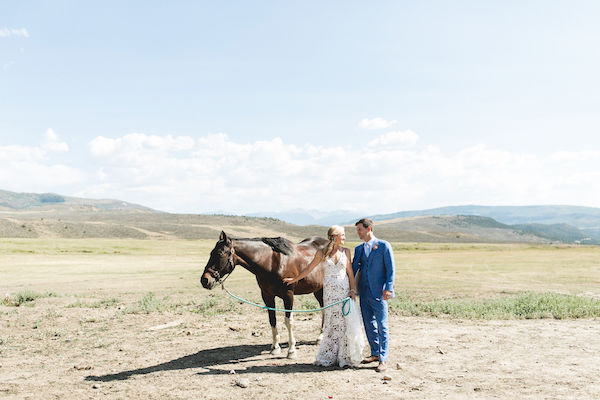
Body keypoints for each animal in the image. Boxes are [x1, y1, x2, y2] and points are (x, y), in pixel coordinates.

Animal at [199, 231, 326, 360]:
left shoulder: (288, 295)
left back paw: (320, 338)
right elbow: (272, 320)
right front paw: (275, 348)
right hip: (318, 290)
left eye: (219, 253)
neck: (272, 262)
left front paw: (291, 351)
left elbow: (288, 321)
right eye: (211, 253)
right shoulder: (267, 296)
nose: (205, 280)